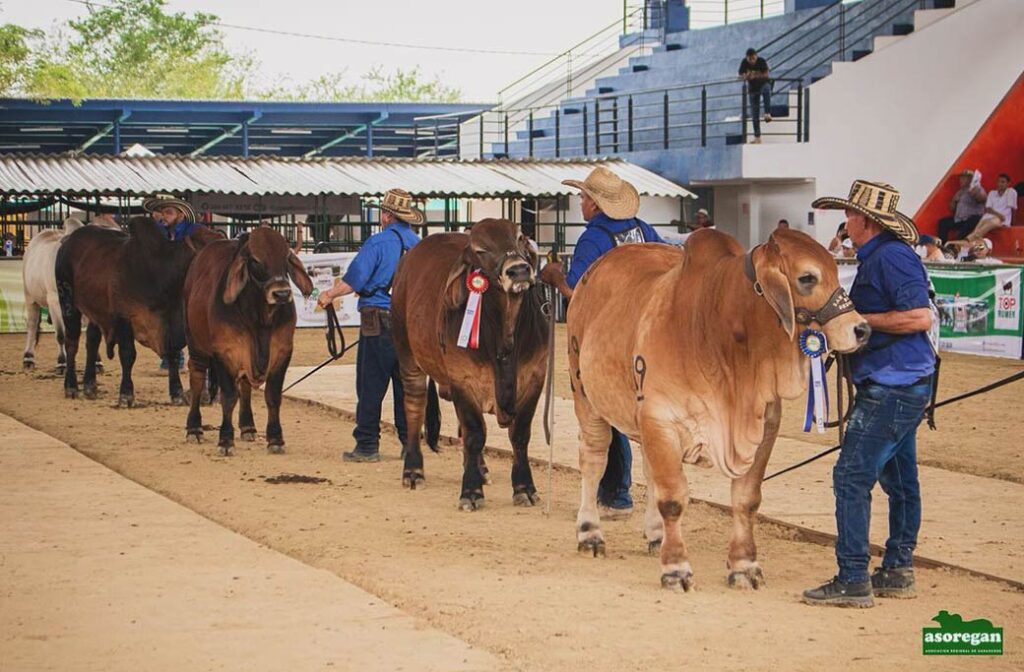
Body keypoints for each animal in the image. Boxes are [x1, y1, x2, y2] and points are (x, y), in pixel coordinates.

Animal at [56, 216, 220, 403]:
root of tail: (68, 241)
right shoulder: (124, 318)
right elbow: (128, 355)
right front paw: (126, 394)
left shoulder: (171, 323)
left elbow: (172, 354)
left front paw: (177, 392)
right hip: (67, 302)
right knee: (71, 343)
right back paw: (71, 386)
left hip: (96, 311)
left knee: (92, 341)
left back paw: (90, 385)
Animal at [391, 219, 552, 510]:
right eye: (480, 250)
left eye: (520, 237)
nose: (519, 270)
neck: (505, 334)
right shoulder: (462, 380)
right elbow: (476, 434)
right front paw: (471, 491)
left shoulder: (535, 377)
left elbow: (519, 435)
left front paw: (525, 488)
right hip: (408, 357)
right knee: (414, 409)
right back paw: (413, 470)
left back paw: (480, 468)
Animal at [569, 228, 872, 590]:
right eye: (807, 278)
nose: (862, 330)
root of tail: (594, 270)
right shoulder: (660, 418)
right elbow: (673, 498)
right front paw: (676, 568)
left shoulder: (764, 425)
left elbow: (747, 498)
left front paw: (744, 565)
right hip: (586, 397)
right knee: (593, 460)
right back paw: (590, 533)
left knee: (648, 471)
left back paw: (656, 535)